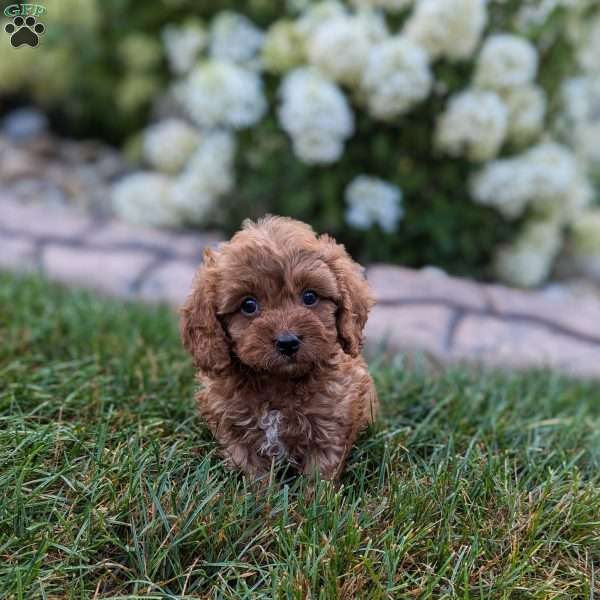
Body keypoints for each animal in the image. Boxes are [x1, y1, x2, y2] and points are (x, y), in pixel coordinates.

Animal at [179, 214, 380, 478]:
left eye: (310, 297)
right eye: (248, 305)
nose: (288, 343)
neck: (278, 381)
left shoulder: (330, 424)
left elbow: (319, 472)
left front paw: (315, 491)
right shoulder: (234, 430)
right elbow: (253, 471)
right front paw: (258, 490)